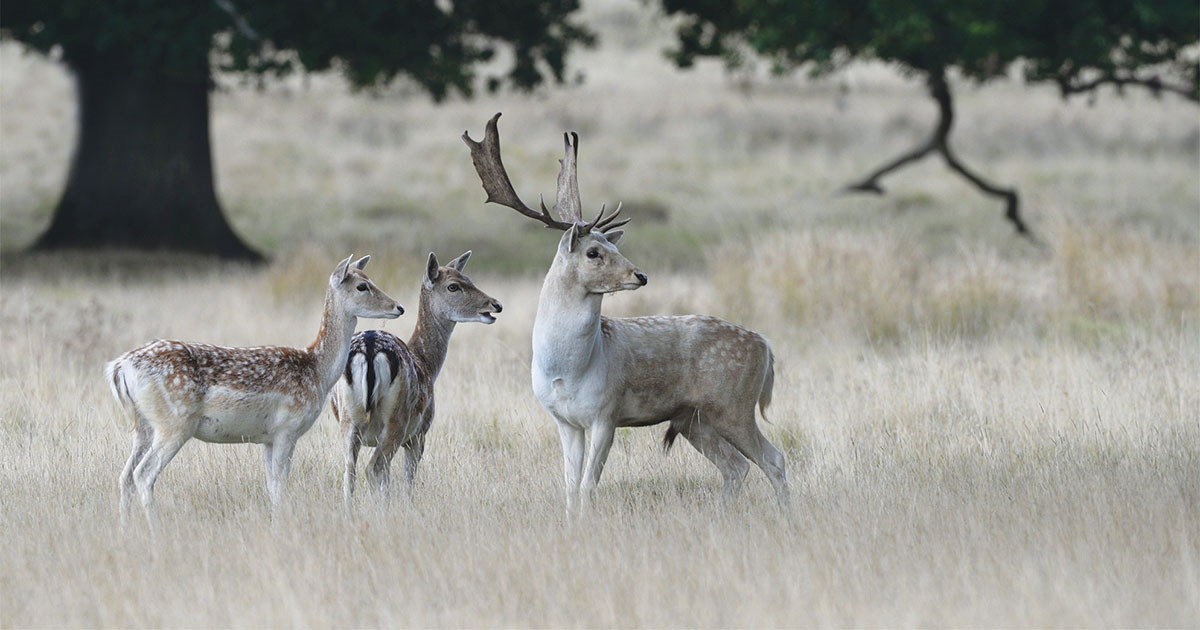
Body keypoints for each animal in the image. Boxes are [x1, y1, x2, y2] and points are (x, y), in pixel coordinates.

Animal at [105, 255, 404, 527]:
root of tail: (120, 367)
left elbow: (271, 486)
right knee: (143, 474)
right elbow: (280, 486)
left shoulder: (267, 438)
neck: (316, 370)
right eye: (362, 286)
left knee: (125, 476)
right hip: (174, 423)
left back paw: (125, 528)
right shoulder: (287, 429)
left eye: (369, 279)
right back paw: (155, 530)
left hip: (144, 425)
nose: (398, 307)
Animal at [330, 251, 503, 506]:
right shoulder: (419, 435)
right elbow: (408, 479)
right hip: (396, 422)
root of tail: (369, 350)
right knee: (374, 468)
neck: (427, 364)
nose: (496, 304)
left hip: (348, 421)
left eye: (469, 278)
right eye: (453, 286)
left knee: (349, 473)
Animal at [462, 113, 790, 514]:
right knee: (736, 466)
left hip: (733, 404)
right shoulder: (565, 421)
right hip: (695, 418)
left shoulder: (607, 412)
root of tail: (766, 346)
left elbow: (588, 484)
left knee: (773, 459)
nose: (641, 275)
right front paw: (572, 521)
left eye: (612, 246)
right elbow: (570, 485)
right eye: (593, 252)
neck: (568, 369)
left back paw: (787, 516)